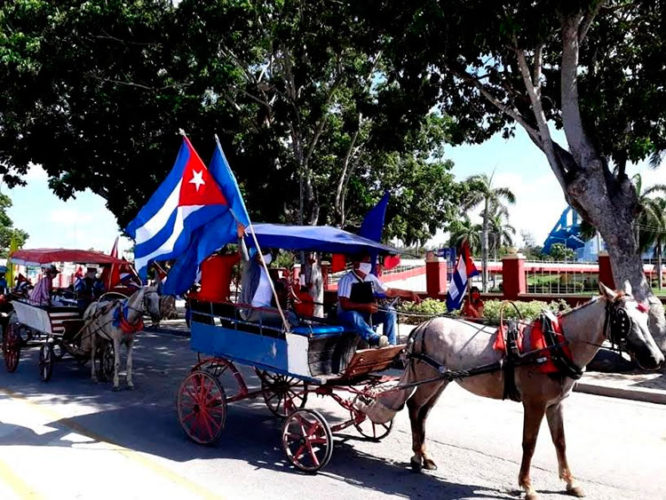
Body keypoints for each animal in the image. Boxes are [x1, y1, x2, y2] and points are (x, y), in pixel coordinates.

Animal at [366, 284, 660, 498]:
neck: (554, 345)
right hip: (427, 378)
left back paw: (424, 457)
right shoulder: (535, 403)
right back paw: (417, 457)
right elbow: (529, 444)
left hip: (441, 380)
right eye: (623, 318)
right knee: (414, 407)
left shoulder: (556, 404)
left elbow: (561, 442)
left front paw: (570, 483)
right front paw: (527, 486)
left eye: (646, 316)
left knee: (422, 412)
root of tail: (422, 327)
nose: (656, 358)